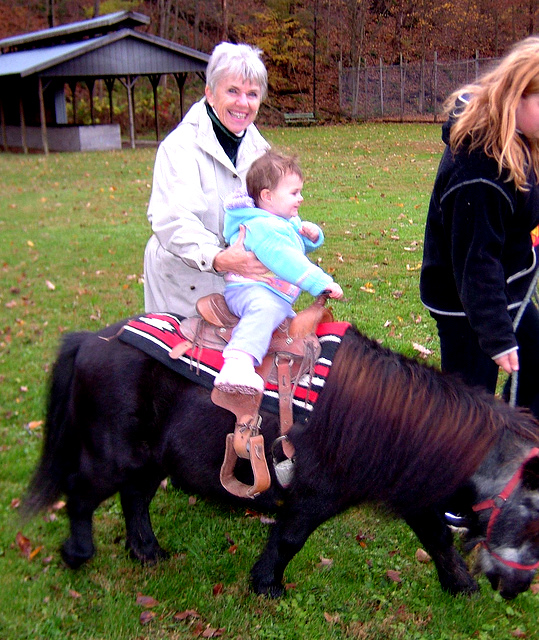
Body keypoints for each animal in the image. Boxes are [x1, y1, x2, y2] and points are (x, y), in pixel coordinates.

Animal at [25, 320, 539, 600]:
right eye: (533, 519)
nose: (517, 591)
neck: (392, 420)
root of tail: (93, 338)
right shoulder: (314, 493)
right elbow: (290, 538)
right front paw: (267, 583)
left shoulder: (414, 494)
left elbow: (438, 539)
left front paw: (461, 587)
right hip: (113, 455)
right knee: (81, 493)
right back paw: (78, 554)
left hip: (148, 459)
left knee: (134, 498)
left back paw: (147, 552)